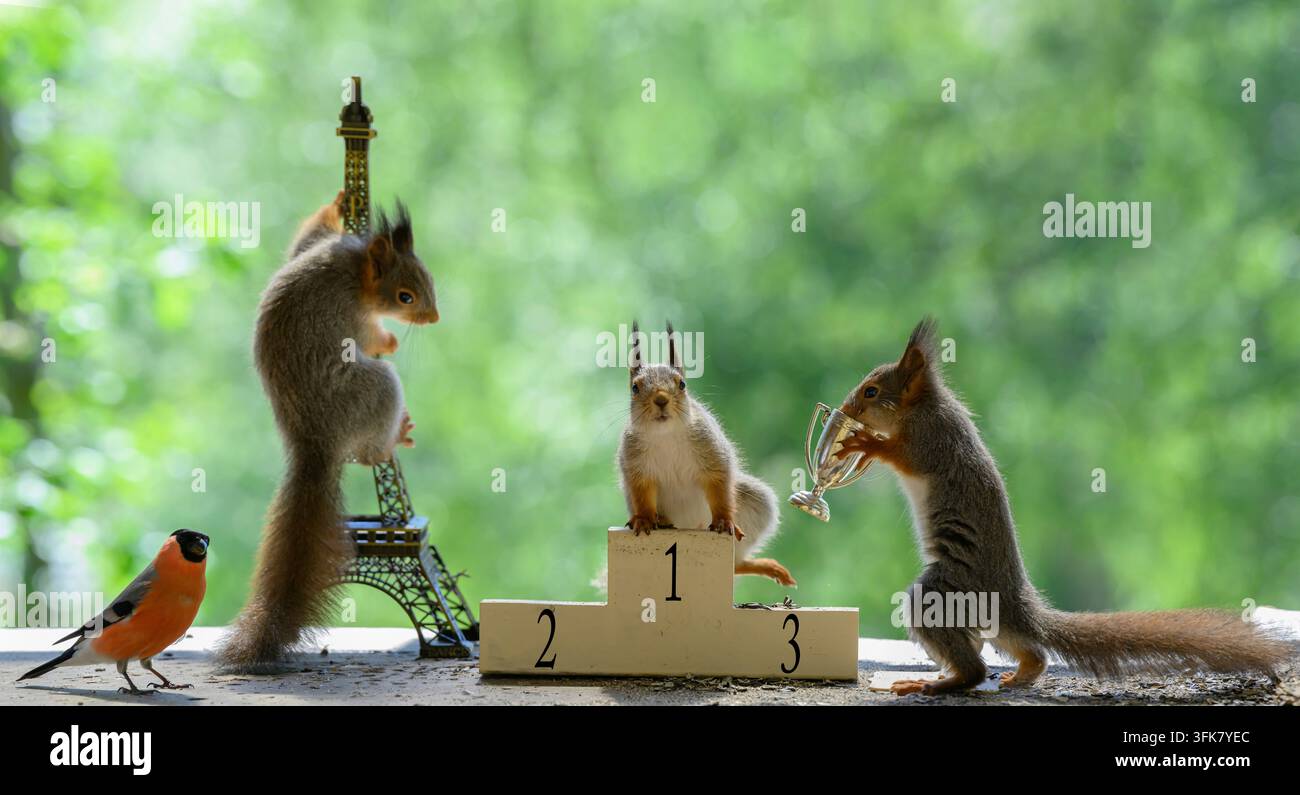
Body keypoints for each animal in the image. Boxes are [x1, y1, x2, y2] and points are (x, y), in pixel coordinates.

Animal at [216, 192, 438, 670]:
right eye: (405, 296)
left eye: (430, 277)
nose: (433, 317)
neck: (355, 268)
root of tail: (313, 444)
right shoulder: (351, 316)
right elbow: (369, 338)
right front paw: (390, 340)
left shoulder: (318, 247)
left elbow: (303, 239)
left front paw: (336, 205)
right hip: (374, 389)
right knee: (369, 451)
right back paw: (393, 438)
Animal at [616, 321, 794, 586]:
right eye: (635, 388)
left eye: (682, 384)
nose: (661, 399)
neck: (665, 435)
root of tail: (691, 526)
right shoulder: (633, 462)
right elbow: (641, 491)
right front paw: (645, 518)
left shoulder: (710, 447)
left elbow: (718, 481)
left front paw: (722, 520)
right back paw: (662, 521)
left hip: (756, 502)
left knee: (735, 564)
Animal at [834, 318, 1292, 695]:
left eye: (871, 392)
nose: (846, 409)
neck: (922, 407)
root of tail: (1015, 600)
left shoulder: (932, 439)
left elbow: (904, 455)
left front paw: (865, 443)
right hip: (990, 619)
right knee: (1030, 650)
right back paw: (1021, 674)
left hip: (942, 593)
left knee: (975, 670)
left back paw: (937, 683)